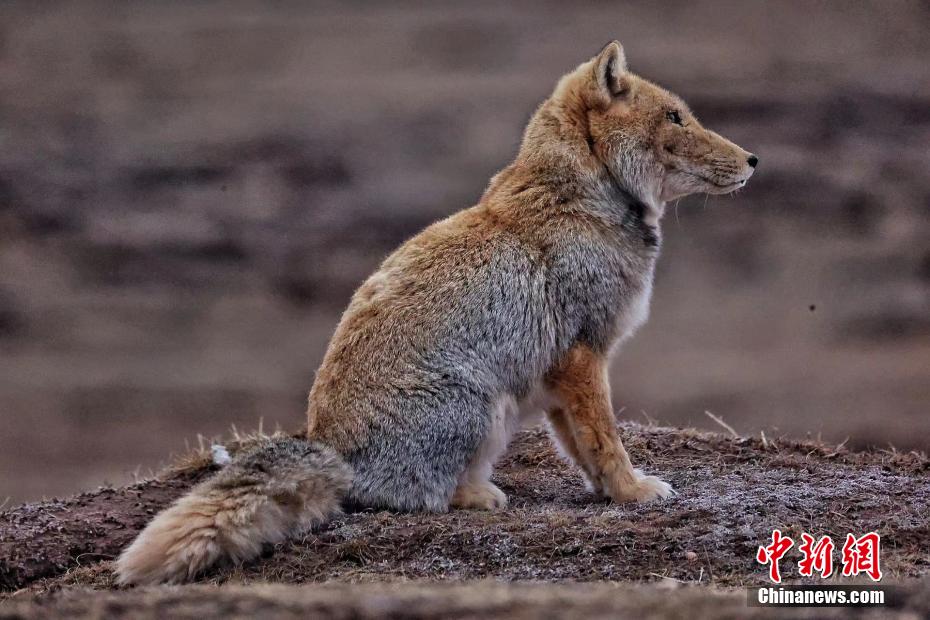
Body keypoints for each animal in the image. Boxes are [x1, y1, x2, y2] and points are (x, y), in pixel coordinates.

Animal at [115, 40, 756, 585]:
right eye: (675, 117)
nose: (752, 159)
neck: (582, 198)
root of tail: (330, 447)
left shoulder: (560, 372)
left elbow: (581, 448)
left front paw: (610, 491)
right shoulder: (583, 356)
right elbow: (606, 441)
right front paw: (632, 491)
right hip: (482, 405)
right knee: (417, 497)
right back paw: (478, 495)